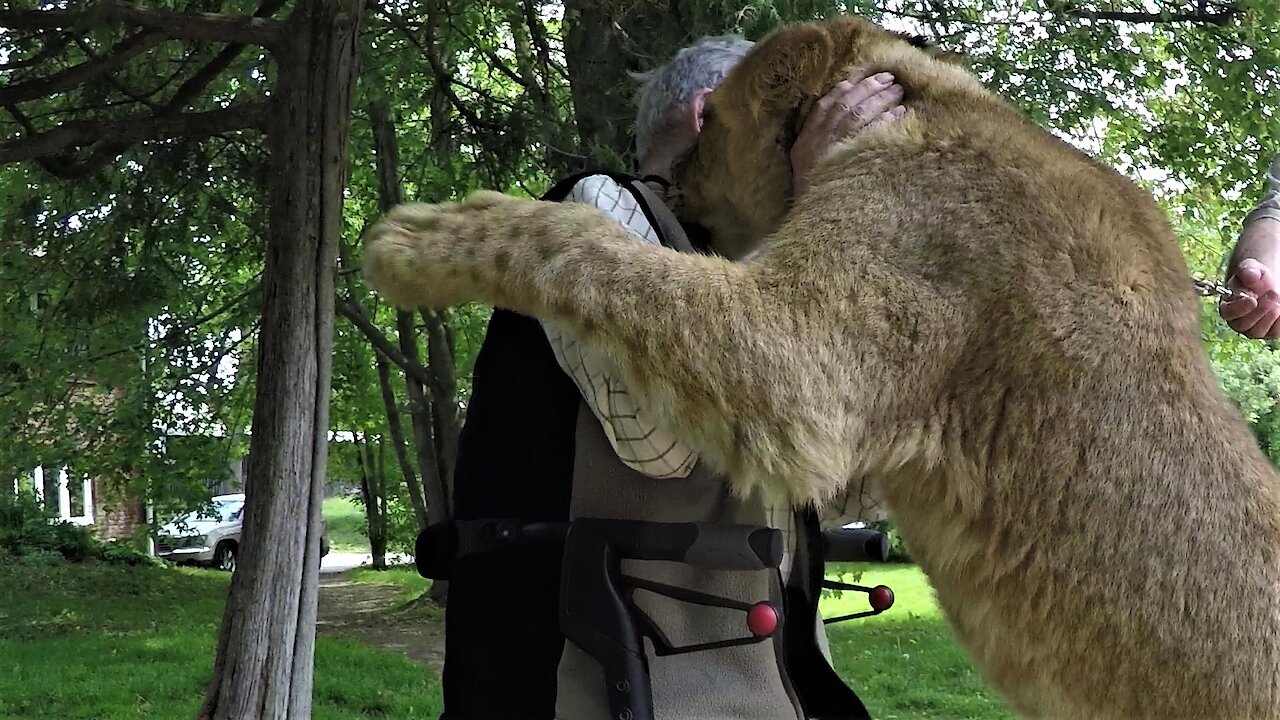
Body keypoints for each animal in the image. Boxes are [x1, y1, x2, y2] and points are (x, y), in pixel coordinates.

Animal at [358, 12, 1280, 717]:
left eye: (711, 128)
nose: (668, 172)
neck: (916, 100)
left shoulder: (804, 357)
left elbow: (590, 244)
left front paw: (419, 237)